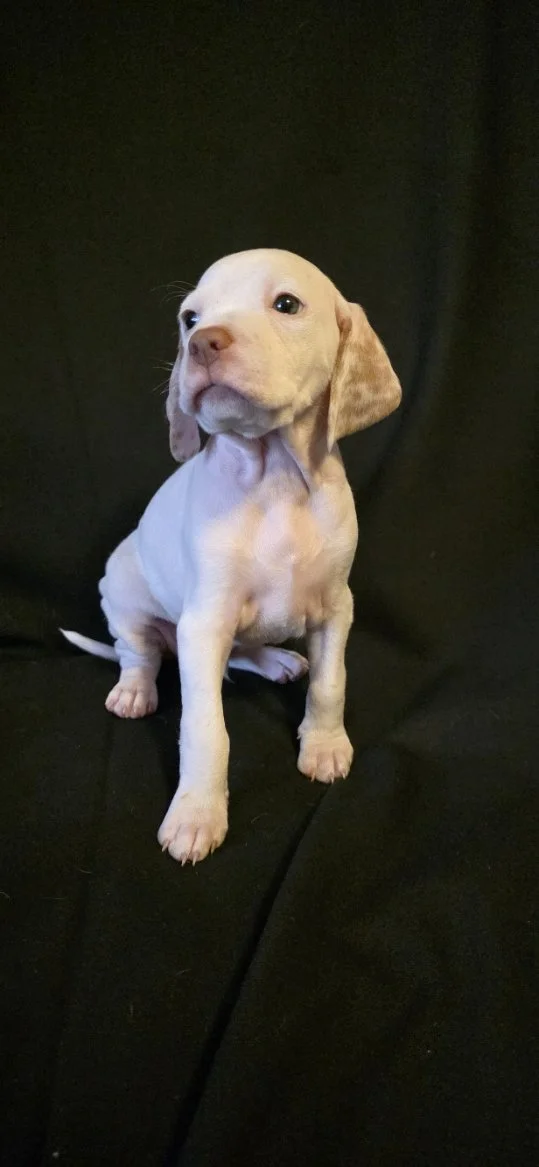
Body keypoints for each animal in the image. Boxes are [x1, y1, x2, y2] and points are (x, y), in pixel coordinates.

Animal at [62, 248, 401, 863]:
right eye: (190, 318)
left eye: (286, 304)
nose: (203, 343)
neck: (276, 482)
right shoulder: (204, 621)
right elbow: (205, 729)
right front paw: (197, 814)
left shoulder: (337, 606)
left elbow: (331, 684)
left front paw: (324, 746)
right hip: (122, 594)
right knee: (139, 652)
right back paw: (134, 690)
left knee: (242, 653)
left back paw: (279, 661)